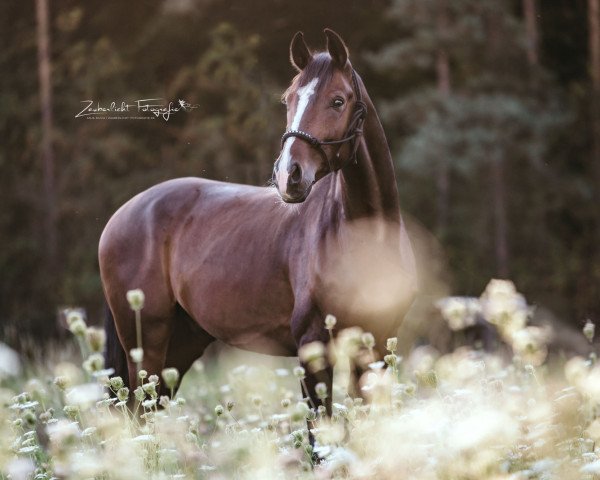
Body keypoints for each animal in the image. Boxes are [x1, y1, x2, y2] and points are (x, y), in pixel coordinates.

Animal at [99, 29, 418, 412]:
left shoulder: (378, 348)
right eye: (288, 100)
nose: (288, 175)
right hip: (145, 344)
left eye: (338, 101)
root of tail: (122, 214)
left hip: (182, 344)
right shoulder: (312, 349)